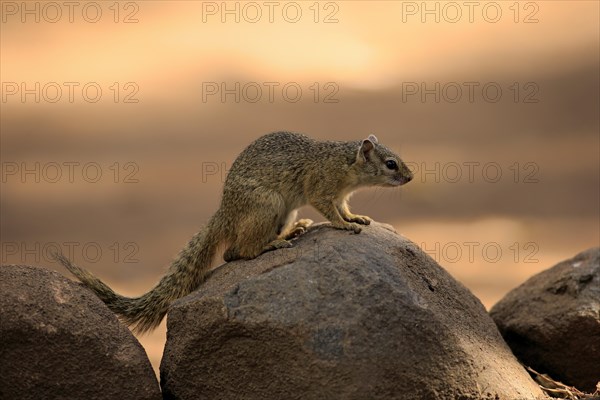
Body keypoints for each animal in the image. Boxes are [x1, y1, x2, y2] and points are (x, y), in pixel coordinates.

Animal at [54, 130, 412, 332]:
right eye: (391, 163)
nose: (410, 177)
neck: (344, 163)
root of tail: (225, 213)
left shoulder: (340, 196)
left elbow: (346, 207)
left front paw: (357, 217)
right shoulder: (320, 189)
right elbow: (330, 210)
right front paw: (343, 224)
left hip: (283, 211)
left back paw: (291, 232)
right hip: (267, 205)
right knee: (237, 252)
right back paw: (272, 245)